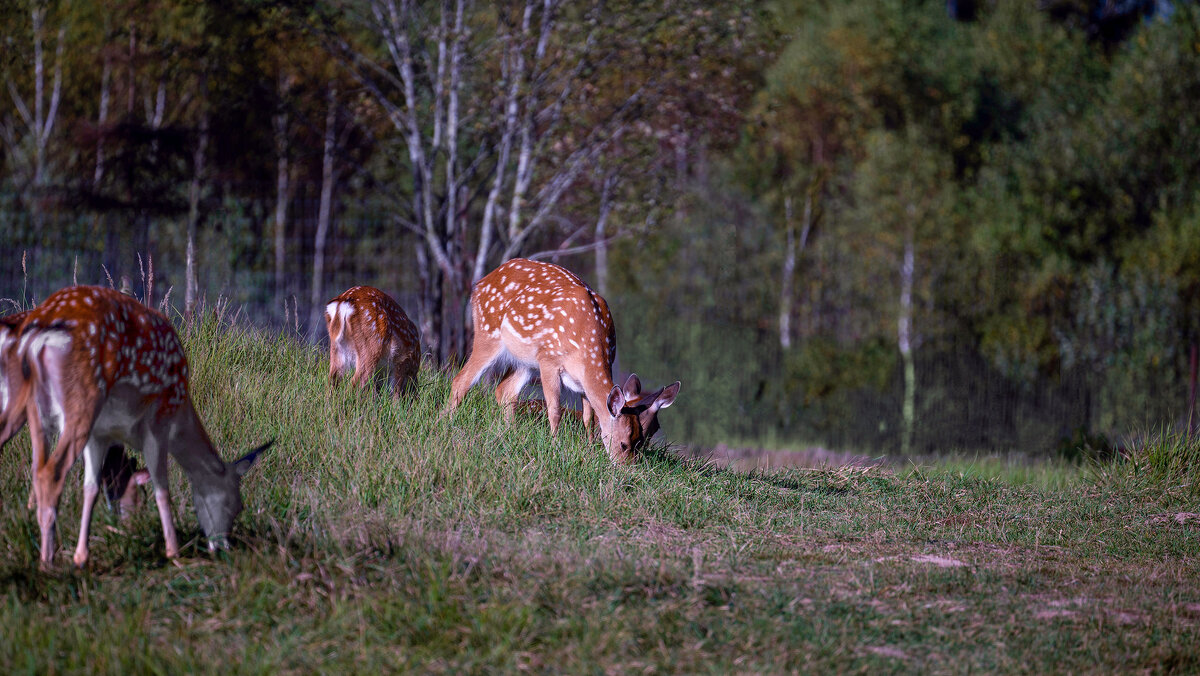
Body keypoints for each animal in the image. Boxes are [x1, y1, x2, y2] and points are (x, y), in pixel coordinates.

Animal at [1, 288, 270, 569]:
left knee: (35, 467)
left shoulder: (100, 435)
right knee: (51, 471)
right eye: (237, 504)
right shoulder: (158, 423)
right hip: (81, 401)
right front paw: (173, 552)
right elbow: (162, 487)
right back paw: (47, 562)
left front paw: (81, 556)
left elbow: (91, 488)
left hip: (34, 409)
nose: (223, 546)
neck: (182, 414)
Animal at [446, 259, 681, 465]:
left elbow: (589, 417)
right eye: (623, 444)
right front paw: (555, 446)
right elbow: (555, 409)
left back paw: (509, 434)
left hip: (525, 362)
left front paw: (589, 448)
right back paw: (447, 422)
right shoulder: (549, 360)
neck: (588, 346)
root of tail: (481, 283)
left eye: (639, 441)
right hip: (489, 333)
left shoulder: (581, 382)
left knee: (505, 390)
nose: (627, 468)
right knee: (461, 380)